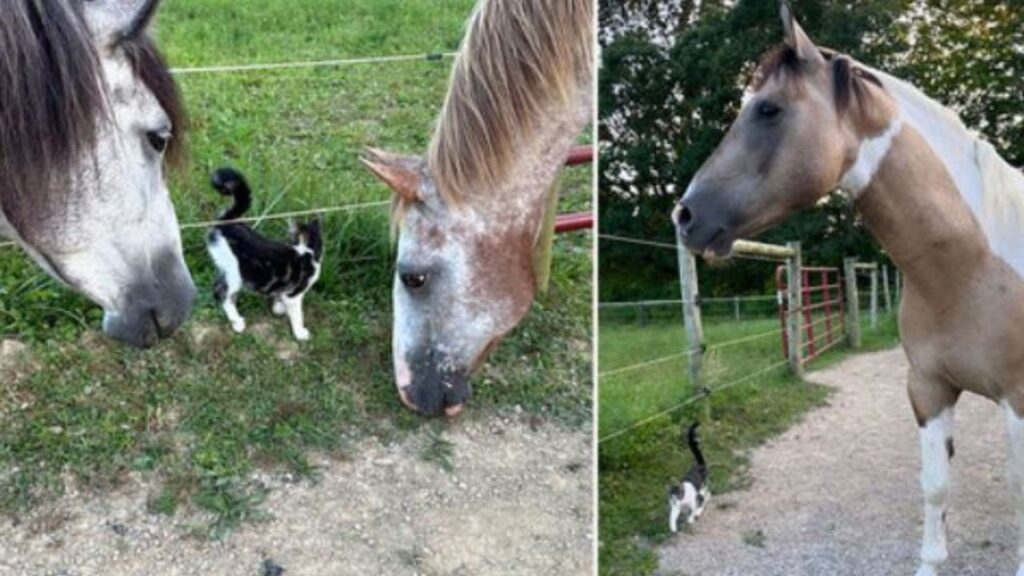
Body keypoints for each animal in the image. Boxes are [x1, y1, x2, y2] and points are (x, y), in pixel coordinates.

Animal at [204, 166, 323, 338]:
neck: (307, 251)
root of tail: (227, 223)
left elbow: (279, 296)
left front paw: (278, 308)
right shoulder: (295, 294)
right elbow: (297, 314)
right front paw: (300, 332)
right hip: (235, 272)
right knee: (223, 294)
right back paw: (237, 322)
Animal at [671, 5, 1024, 573]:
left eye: (768, 109)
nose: (684, 215)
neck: (973, 267)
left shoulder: (1018, 400)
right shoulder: (928, 389)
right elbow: (935, 487)